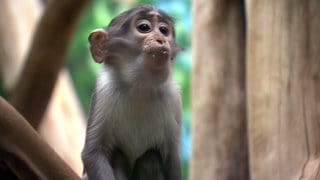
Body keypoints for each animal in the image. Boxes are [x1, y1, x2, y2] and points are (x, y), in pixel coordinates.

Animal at [81, 4, 182, 180]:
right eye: (144, 27)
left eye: (164, 30)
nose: (161, 39)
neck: (140, 87)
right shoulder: (104, 89)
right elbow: (93, 152)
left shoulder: (174, 97)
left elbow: (173, 159)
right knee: (118, 155)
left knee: (150, 158)